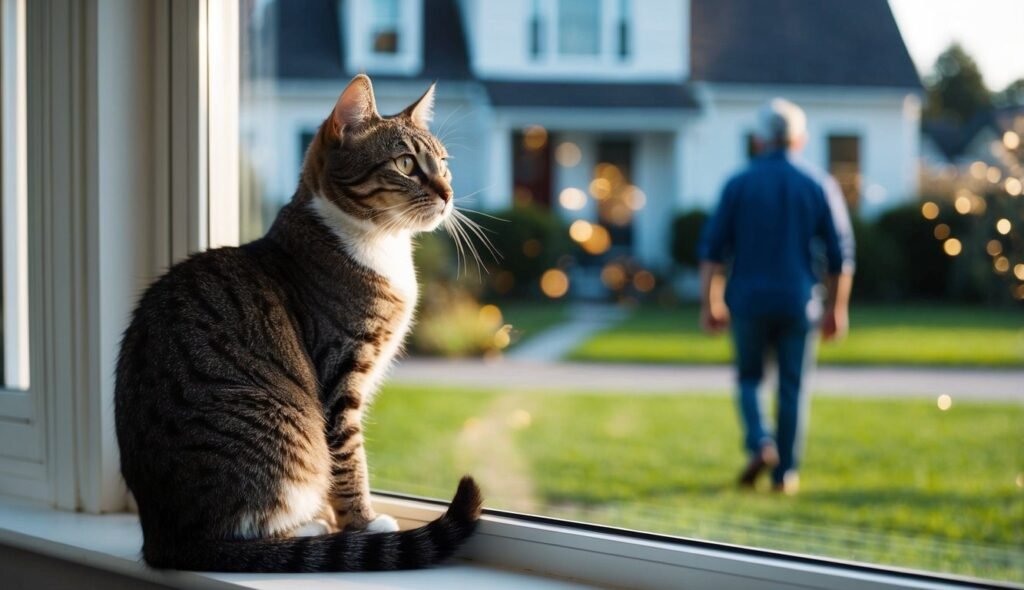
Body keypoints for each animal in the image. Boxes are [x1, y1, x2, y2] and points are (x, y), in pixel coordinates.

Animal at [114, 73, 481, 573]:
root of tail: (163, 540)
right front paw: (365, 524)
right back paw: (311, 528)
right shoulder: (339, 374)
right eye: (406, 164)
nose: (447, 193)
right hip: (283, 434)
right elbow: (348, 460)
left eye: (443, 164)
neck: (380, 246)